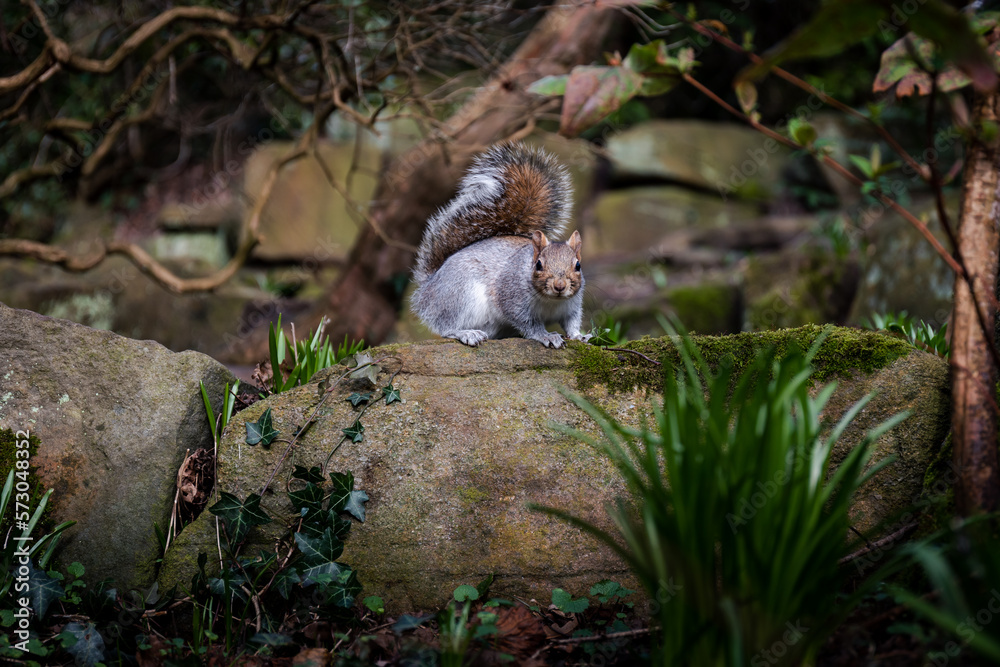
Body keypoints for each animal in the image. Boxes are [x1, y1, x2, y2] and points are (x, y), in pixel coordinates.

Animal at [411, 142, 591, 348]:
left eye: (578, 265)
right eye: (538, 264)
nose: (559, 286)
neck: (551, 301)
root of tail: (428, 288)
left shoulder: (572, 306)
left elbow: (571, 322)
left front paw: (579, 336)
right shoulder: (512, 298)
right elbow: (529, 323)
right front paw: (546, 336)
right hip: (458, 295)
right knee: (446, 326)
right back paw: (466, 332)